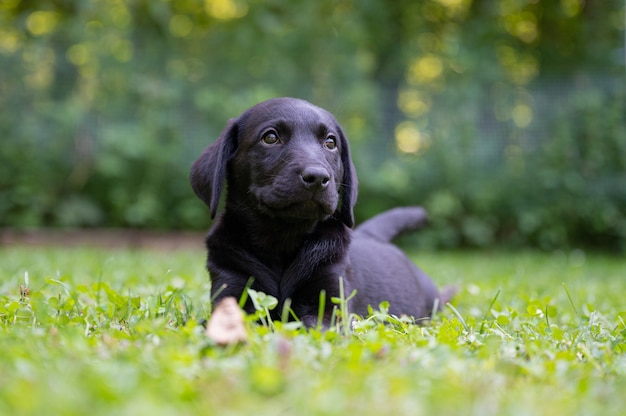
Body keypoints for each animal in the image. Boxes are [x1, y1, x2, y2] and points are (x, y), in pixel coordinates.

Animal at [190, 97, 448, 324]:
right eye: (270, 137)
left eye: (330, 142)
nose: (317, 177)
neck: (281, 239)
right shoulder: (231, 289)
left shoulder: (331, 300)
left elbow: (311, 323)